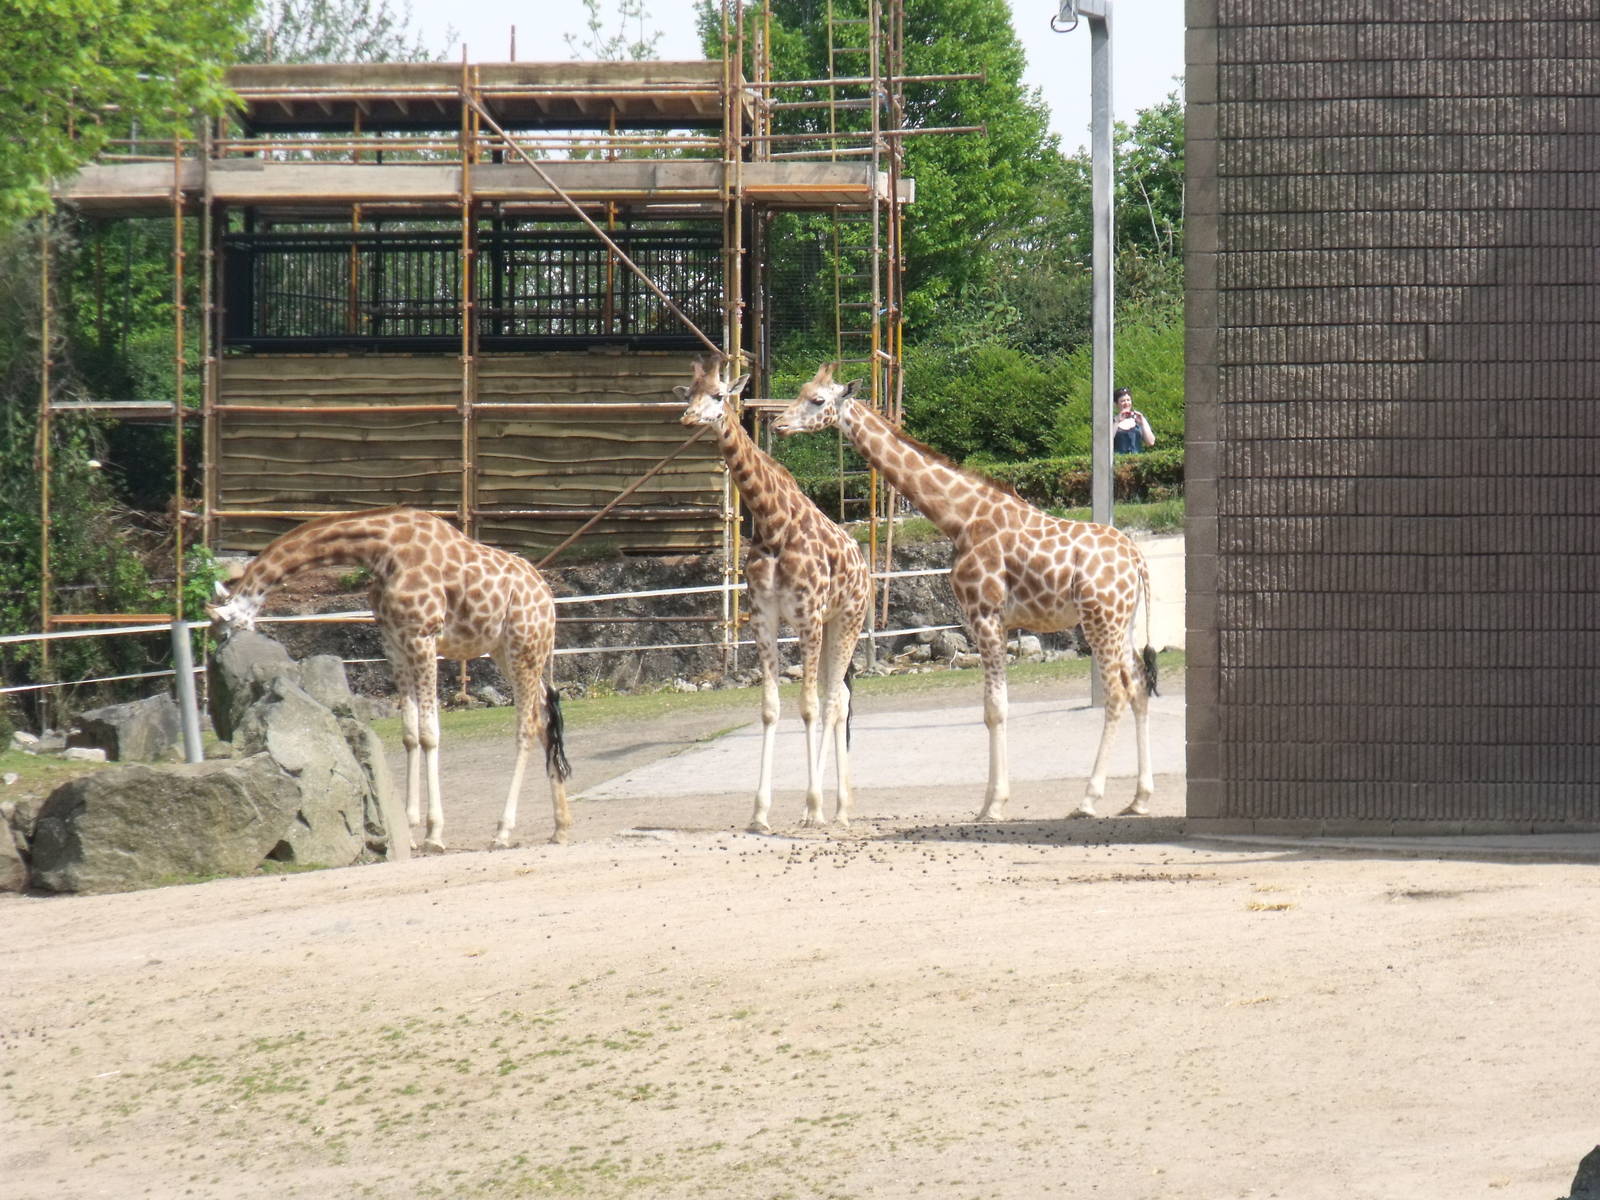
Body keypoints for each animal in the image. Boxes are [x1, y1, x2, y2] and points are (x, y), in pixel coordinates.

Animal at [209, 507, 572, 852]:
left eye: (222, 632)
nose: (218, 673)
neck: (381, 550)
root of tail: (548, 598)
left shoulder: (423, 637)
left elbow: (429, 734)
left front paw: (434, 833)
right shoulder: (394, 643)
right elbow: (410, 734)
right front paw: (408, 830)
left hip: (523, 648)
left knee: (526, 727)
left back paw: (503, 831)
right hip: (507, 651)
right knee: (544, 716)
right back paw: (560, 828)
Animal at [676, 354, 872, 833]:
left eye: (718, 394)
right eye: (688, 393)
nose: (688, 417)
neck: (772, 522)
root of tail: (863, 564)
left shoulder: (807, 616)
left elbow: (809, 707)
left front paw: (814, 806)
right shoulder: (763, 617)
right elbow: (769, 708)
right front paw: (760, 813)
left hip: (847, 619)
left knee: (833, 701)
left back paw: (829, 809)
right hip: (831, 625)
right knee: (840, 697)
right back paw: (839, 807)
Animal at [773, 363, 1158, 820]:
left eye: (817, 400)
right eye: (800, 391)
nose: (777, 423)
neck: (960, 518)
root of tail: (1136, 558)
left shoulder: (984, 613)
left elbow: (994, 708)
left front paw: (994, 805)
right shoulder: (996, 620)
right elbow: (992, 706)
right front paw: (989, 802)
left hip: (1101, 620)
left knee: (1117, 692)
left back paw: (1088, 799)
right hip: (1123, 622)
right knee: (1139, 686)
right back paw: (1139, 798)